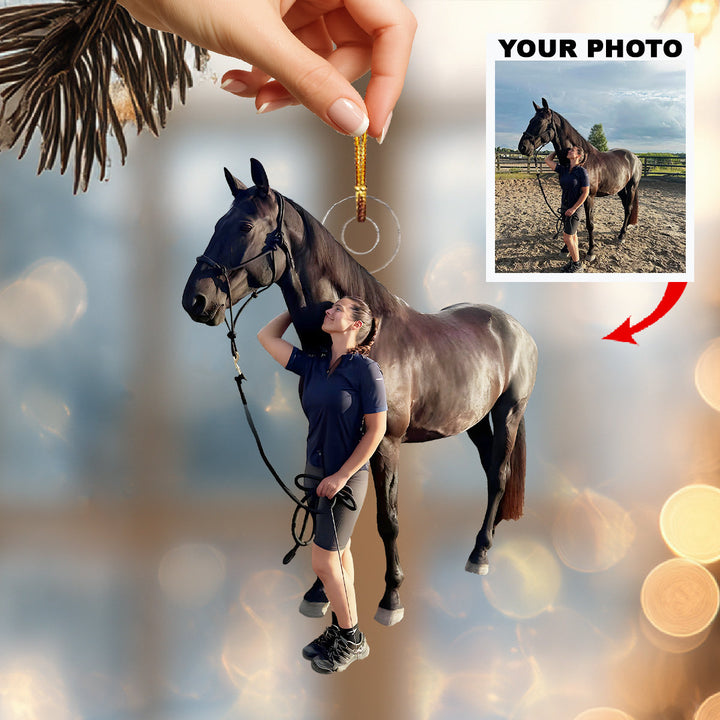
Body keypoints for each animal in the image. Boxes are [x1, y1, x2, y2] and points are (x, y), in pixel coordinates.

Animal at [182, 159, 538, 626]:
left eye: (244, 226)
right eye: (217, 224)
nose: (195, 300)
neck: (363, 341)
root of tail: (514, 326)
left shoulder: (384, 444)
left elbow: (388, 520)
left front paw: (391, 599)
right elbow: (323, 509)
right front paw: (319, 594)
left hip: (508, 411)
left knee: (498, 475)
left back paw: (480, 553)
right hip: (475, 421)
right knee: (492, 473)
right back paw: (486, 537)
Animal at [518, 97, 642, 262]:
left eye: (540, 122)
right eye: (531, 120)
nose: (522, 147)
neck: (583, 161)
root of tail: (634, 157)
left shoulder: (589, 197)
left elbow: (590, 224)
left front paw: (591, 252)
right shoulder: (568, 193)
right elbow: (567, 219)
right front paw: (565, 249)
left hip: (632, 187)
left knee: (628, 208)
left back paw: (622, 235)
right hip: (620, 189)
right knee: (625, 209)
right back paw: (624, 229)